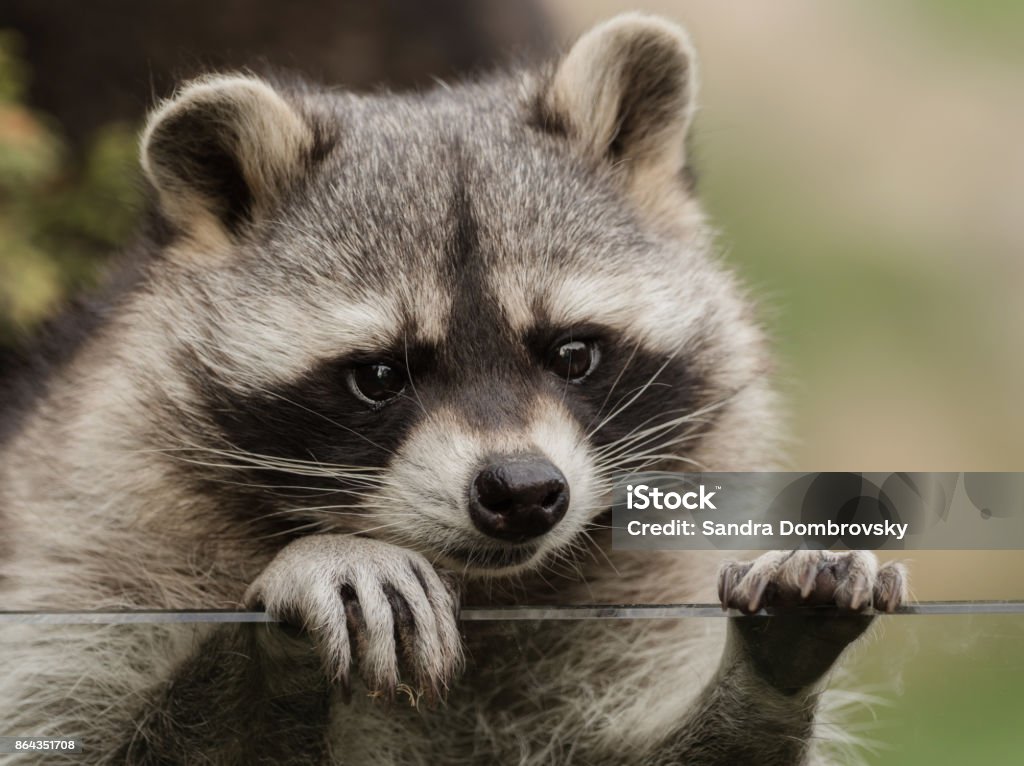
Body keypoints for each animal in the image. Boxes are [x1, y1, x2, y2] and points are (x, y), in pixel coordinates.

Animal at [0, 13, 909, 766]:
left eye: (572, 354)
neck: (481, 589)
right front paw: (290, 621)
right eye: (378, 376)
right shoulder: (86, 560)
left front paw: (770, 670)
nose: (523, 491)